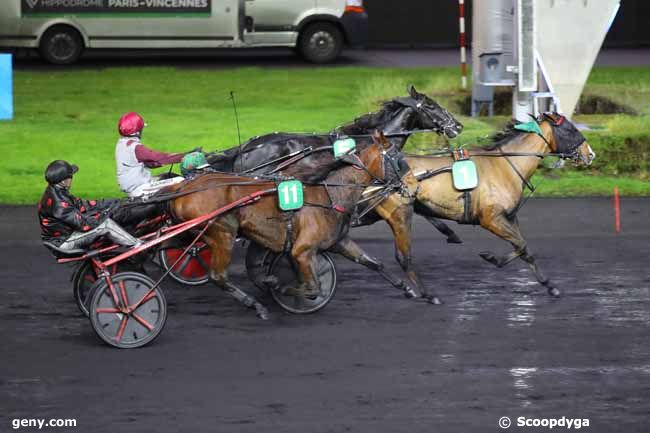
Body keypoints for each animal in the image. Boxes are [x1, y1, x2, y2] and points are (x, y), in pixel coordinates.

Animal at [167, 132, 394, 318]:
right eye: (396, 159)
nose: (401, 184)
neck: (327, 193)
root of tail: (183, 189)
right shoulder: (303, 249)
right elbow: (312, 288)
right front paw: (280, 287)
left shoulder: (333, 241)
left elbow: (372, 263)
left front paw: (403, 285)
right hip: (222, 232)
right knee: (218, 276)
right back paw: (256, 305)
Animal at [408, 113, 596, 298]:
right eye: (571, 130)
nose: (591, 154)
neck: (505, 166)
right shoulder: (491, 219)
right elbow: (521, 244)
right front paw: (491, 257)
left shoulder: (510, 217)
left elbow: (523, 248)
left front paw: (549, 285)